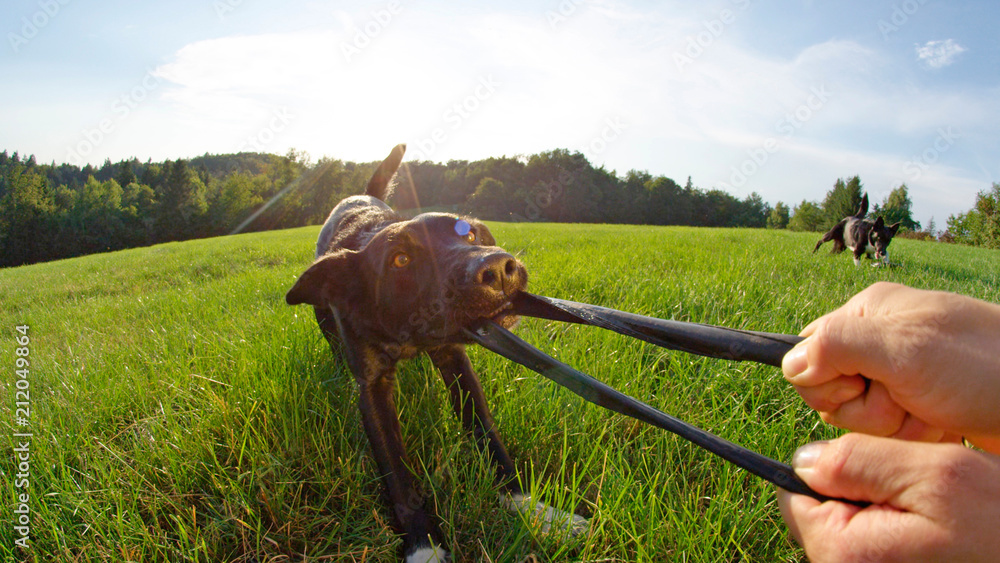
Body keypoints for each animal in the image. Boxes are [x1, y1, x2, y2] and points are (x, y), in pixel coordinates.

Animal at [286, 147, 584, 563]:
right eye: (400, 260)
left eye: (469, 233)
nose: (498, 268)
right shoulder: (372, 387)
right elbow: (397, 474)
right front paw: (423, 546)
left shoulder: (455, 359)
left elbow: (486, 432)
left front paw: (530, 507)